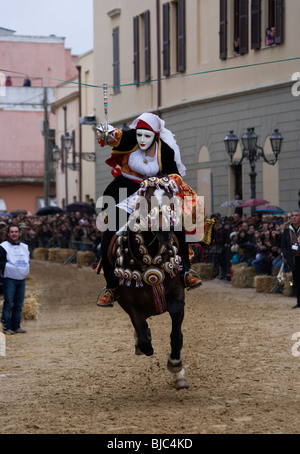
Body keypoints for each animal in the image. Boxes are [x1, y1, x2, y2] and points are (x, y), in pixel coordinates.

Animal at [109, 177, 189, 390]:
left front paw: (176, 364)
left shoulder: (177, 295)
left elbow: (176, 334)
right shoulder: (130, 305)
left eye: (171, 202)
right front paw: (144, 344)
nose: (164, 230)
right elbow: (143, 337)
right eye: (146, 202)